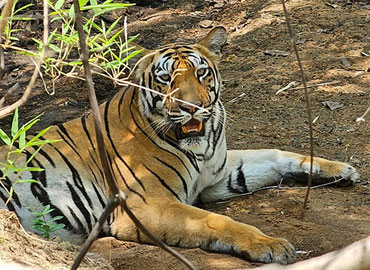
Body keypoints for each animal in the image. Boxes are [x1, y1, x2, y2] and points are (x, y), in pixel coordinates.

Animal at [0, 26, 358, 264]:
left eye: (201, 73)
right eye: (165, 79)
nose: (191, 108)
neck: (199, 146)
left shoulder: (219, 175)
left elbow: (276, 154)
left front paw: (340, 169)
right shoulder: (146, 205)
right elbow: (214, 222)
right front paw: (269, 244)